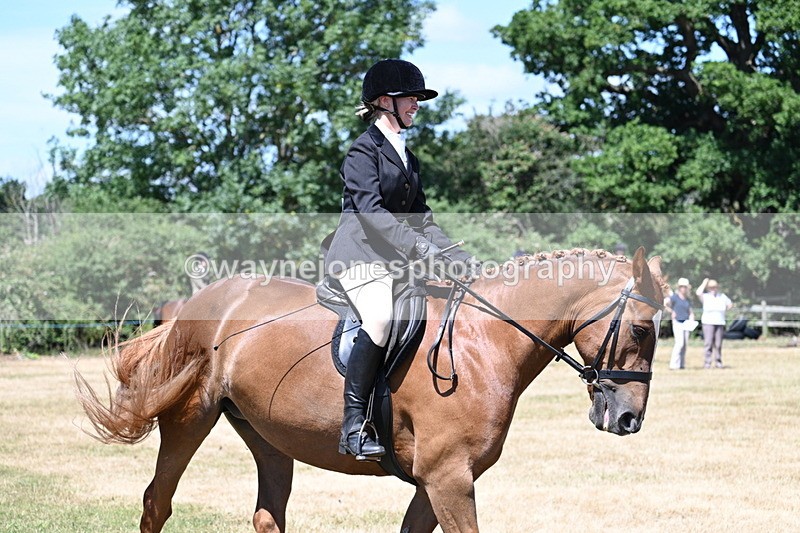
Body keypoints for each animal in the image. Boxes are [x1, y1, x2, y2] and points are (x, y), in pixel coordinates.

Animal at [75, 247, 667, 532]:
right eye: (642, 329)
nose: (629, 420)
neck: (483, 341)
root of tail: (197, 301)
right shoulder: (449, 479)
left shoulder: (436, 482)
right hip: (189, 418)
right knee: (157, 502)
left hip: (267, 436)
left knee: (268, 514)